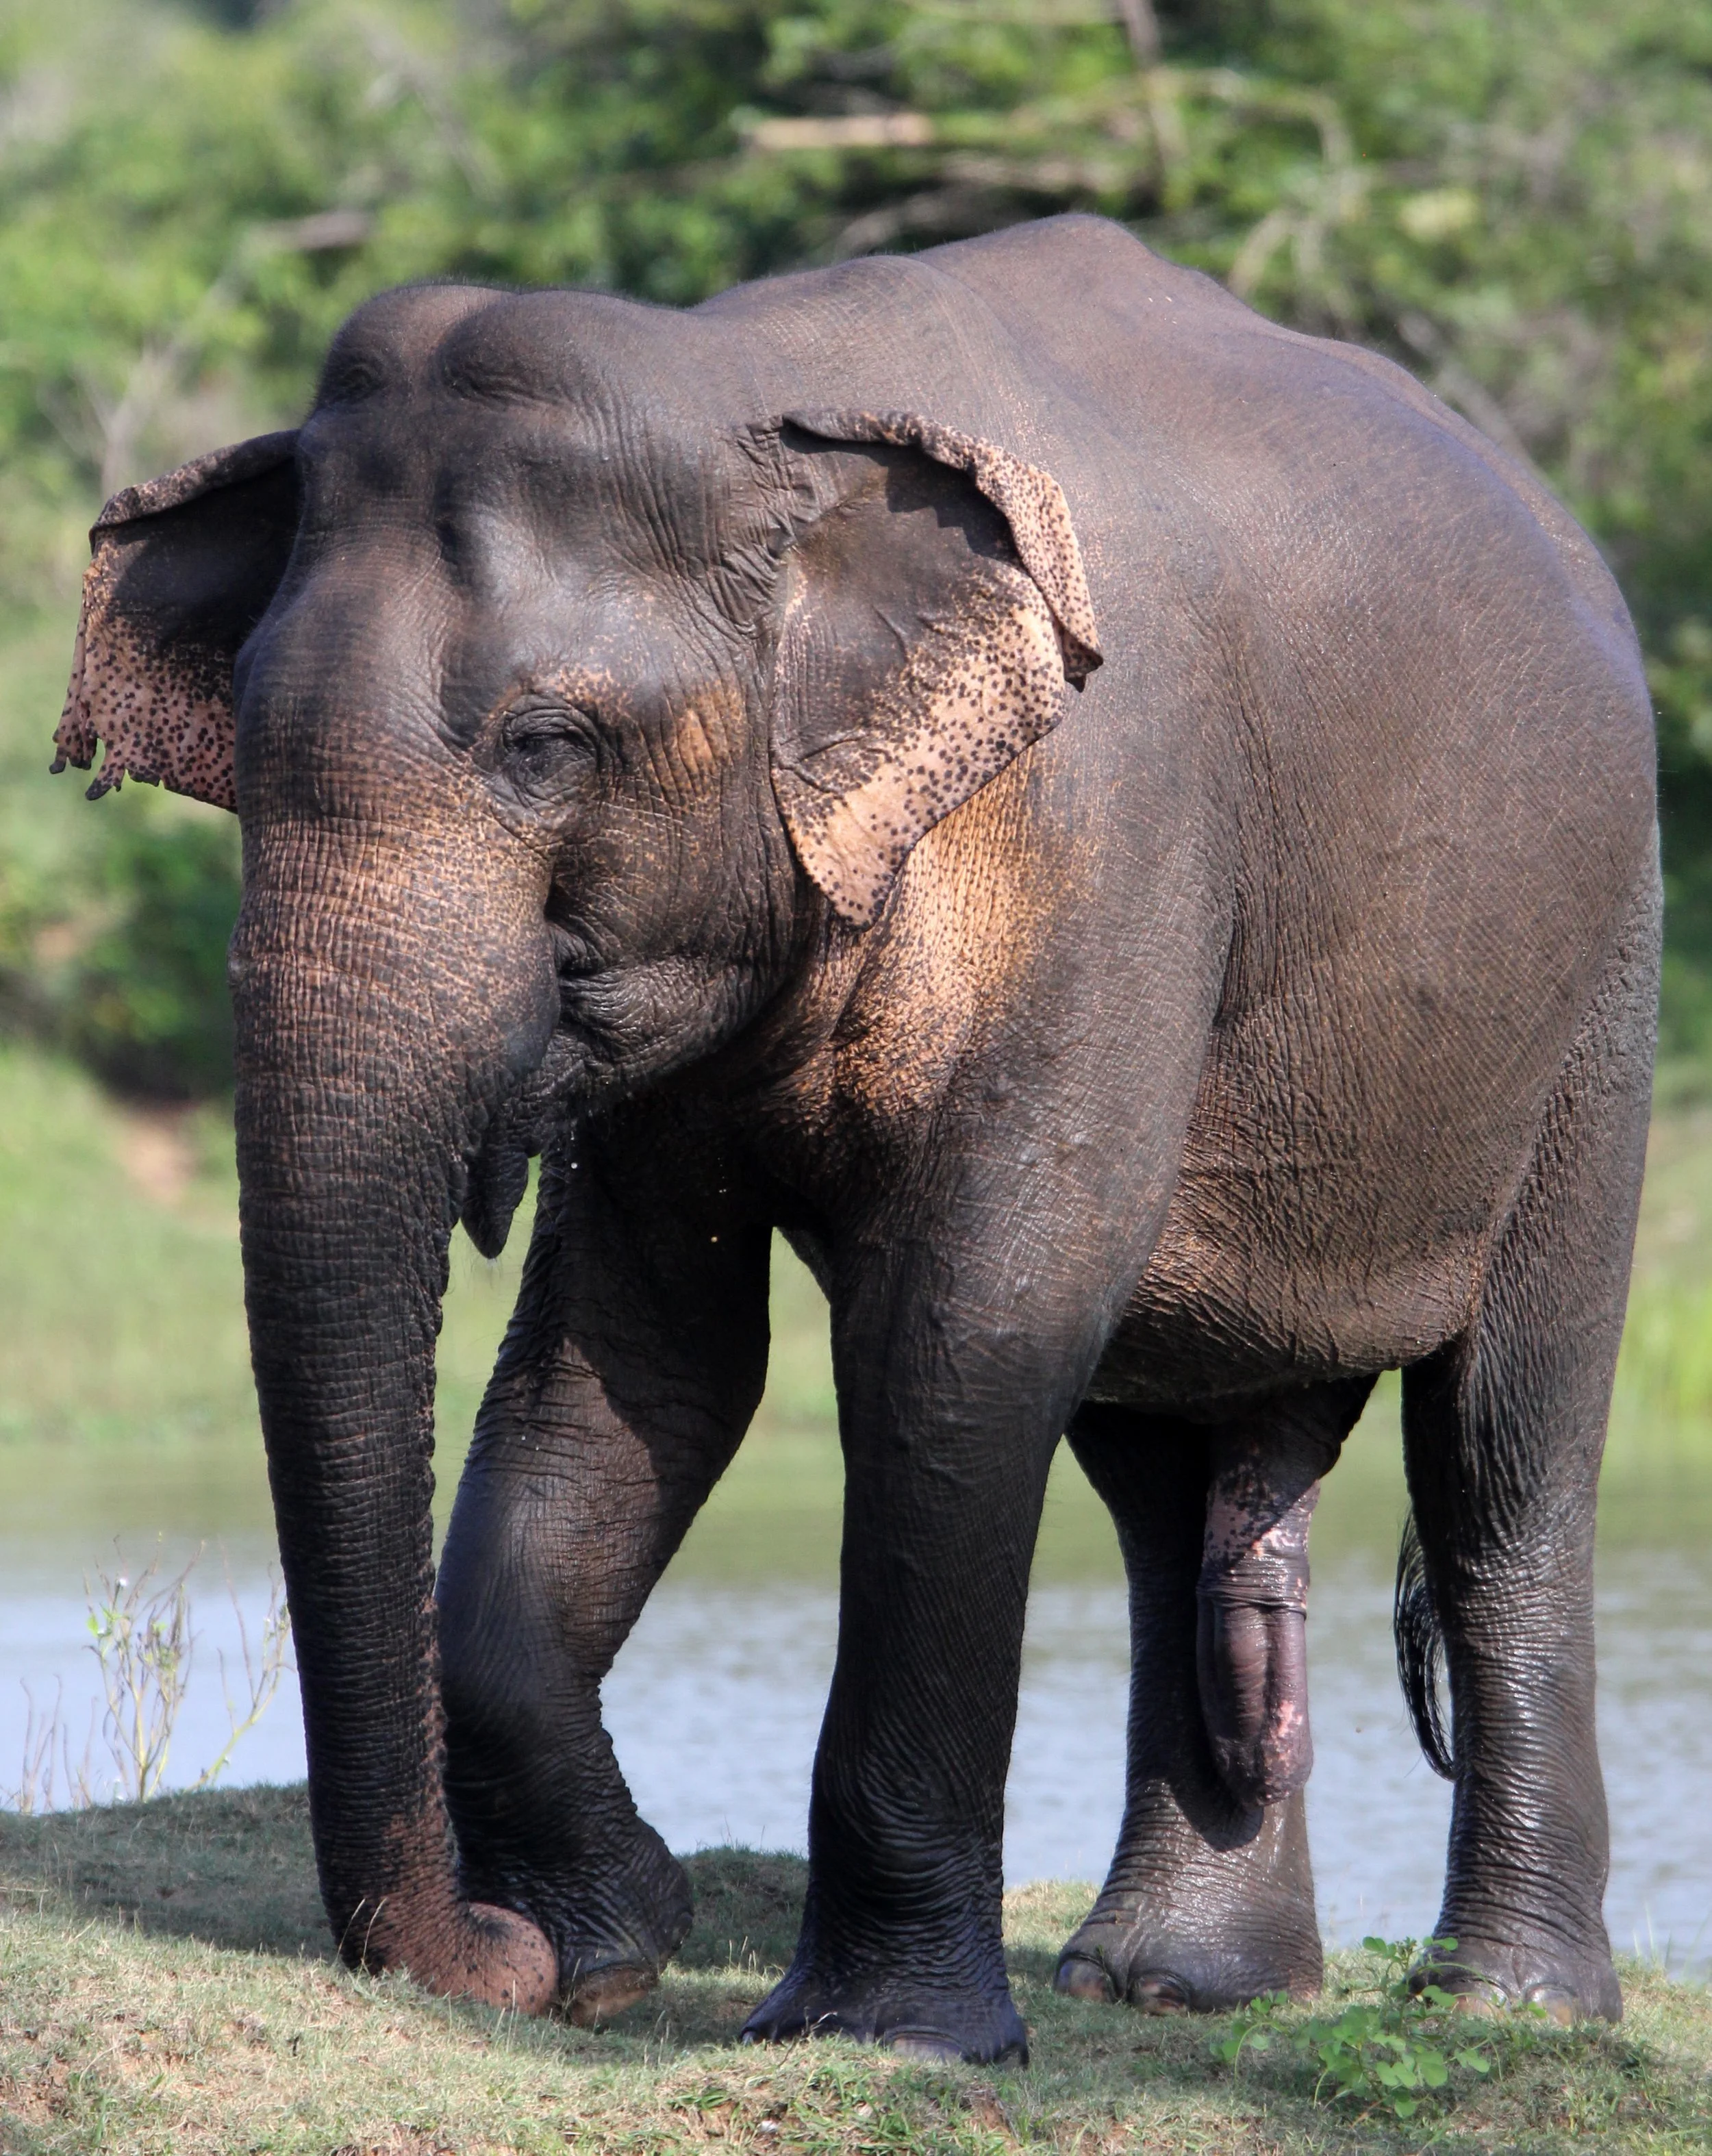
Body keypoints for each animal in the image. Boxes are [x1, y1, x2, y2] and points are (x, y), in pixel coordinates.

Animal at [54, 214, 1657, 2063]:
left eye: (545, 744)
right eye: (241, 742)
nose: (492, 1953)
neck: (752, 388)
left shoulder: (1113, 839)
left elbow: (963, 1336)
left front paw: (878, 2033)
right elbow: (647, 1353)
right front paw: (616, 1944)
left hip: (1597, 984)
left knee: (1502, 1448)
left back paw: (1506, 2008)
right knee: (1162, 1473)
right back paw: (1173, 1981)